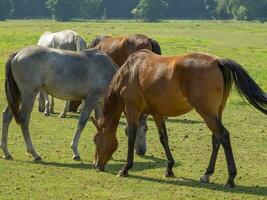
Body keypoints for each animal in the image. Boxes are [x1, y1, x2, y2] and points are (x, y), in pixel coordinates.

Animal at [91, 49, 266, 188]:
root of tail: (218, 61)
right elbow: (164, 138)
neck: (130, 71)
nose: (97, 165)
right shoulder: (157, 113)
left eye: (95, 139)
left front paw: (125, 168)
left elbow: (131, 136)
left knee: (223, 136)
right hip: (216, 112)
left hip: (207, 113)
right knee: (216, 139)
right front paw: (169, 168)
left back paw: (230, 178)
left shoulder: (131, 110)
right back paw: (207, 173)